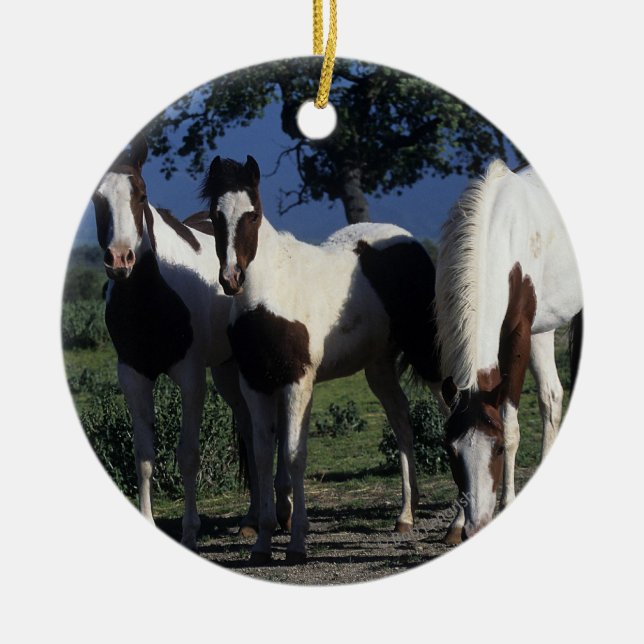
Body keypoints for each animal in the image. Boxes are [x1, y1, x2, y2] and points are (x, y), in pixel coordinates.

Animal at [91, 136, 259, 550]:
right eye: (97, 199)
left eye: (141, 194)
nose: (120, 259)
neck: (152, 297)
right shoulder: (133, 377)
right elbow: (143, 456)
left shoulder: (190, 377)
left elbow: (188, 455)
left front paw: (190, 531)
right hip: (226, 370)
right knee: (249, 430)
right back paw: (252, 518)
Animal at [200, 155, 444, 564]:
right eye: (215, 215)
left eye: (253, 214)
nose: (231, 278)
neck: (270, 294)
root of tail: (408, 241)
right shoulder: (255, 384)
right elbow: (263, 456)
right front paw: (262, 543)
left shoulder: (298, 382)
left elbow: (294, 454)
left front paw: (297, 543)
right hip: (379, 367)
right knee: (402, 423)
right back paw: (406, 516)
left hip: (428, 355)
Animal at [435, 159, 583, 543]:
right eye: (451, 452)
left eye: (498, 448)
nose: (477, 526)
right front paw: (456, 522)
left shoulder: (518, 334)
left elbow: (512, 424)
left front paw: (508, 502)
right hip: (543, 328)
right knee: (552, 396)